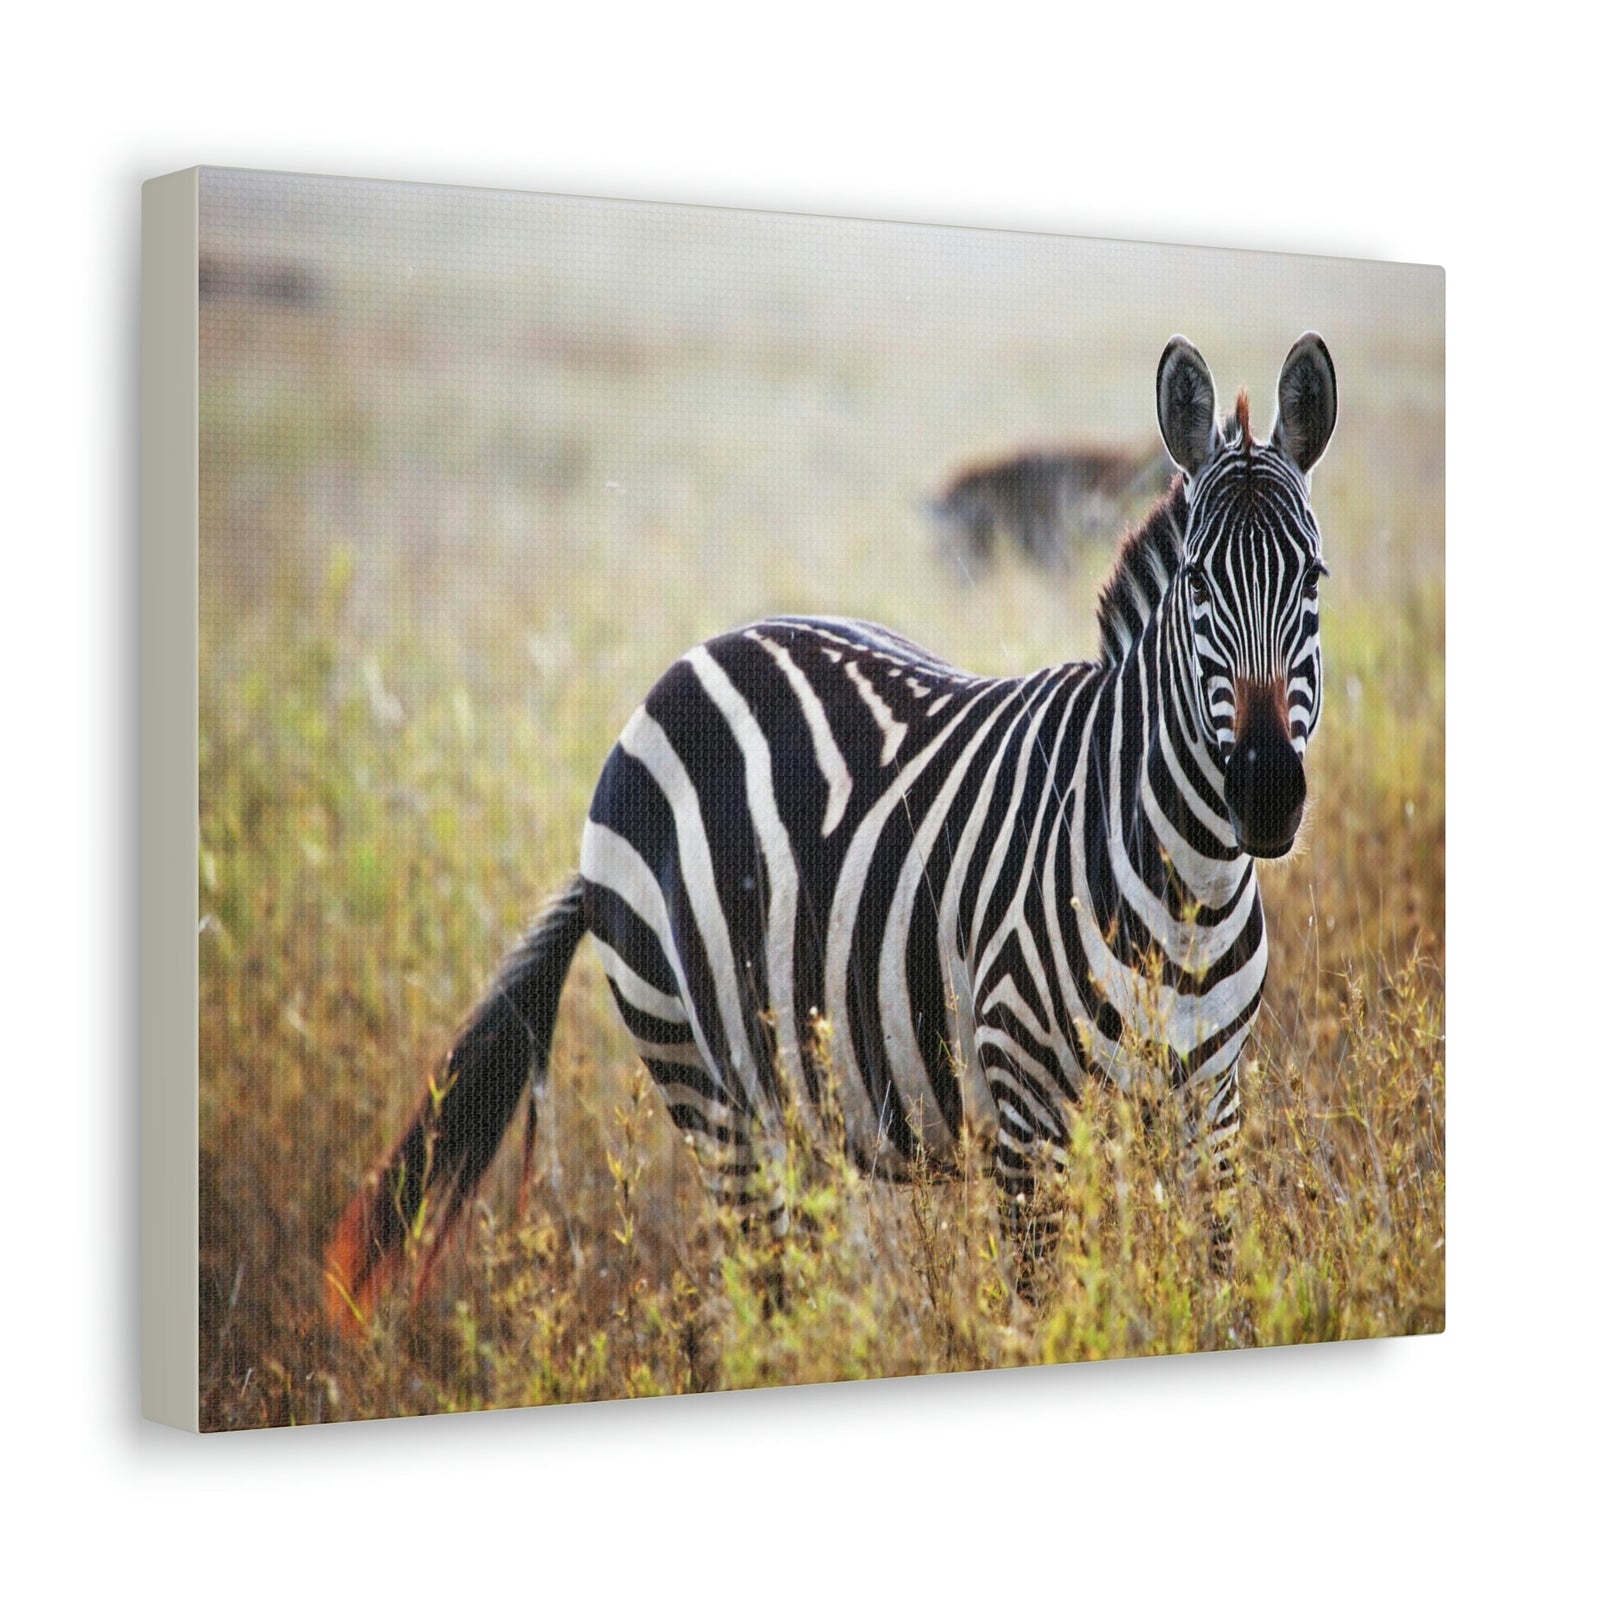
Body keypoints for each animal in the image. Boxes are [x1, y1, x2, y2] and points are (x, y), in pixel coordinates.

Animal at [326, 332, 1337, 1323]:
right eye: (1199, 581)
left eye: (1316, 577)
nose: (1263, 793)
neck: (1189, 885)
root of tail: (687, 666)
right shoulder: (1026, 1108)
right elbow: (1045, 1312)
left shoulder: (1213, 1104)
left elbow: (1215, 1289)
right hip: (704, 1080)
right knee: (762, 1295)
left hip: (800, 1092)